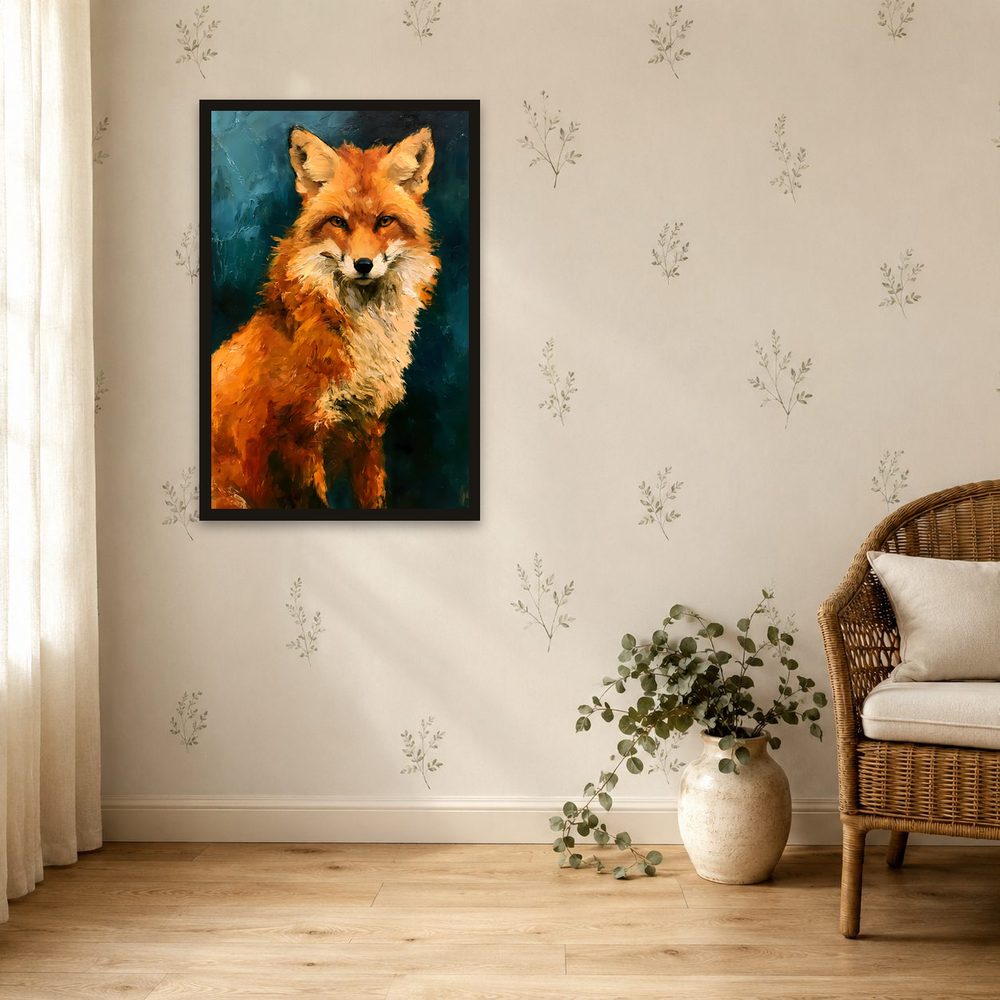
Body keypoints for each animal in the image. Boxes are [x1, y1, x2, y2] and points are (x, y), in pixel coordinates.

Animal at [210, 125, 440, 510]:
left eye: (384, 221)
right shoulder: (298, 438)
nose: (363, 264)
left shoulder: (368, 429)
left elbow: (373, 499)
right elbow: (314, 502)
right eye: (338, 222)